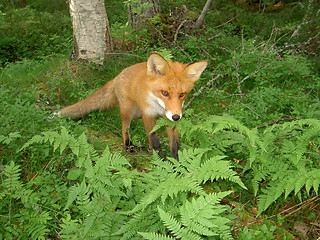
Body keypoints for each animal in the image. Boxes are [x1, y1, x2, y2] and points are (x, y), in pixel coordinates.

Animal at [59, 54, 208, 159]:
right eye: (165, 93)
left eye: (182, 94)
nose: (176, 117)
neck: (159, 108)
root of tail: (118, 75)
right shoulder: (148, 115)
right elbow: (155, 141)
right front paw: (161, 161)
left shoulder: (167, 119)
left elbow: (174, 145)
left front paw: (176, 165)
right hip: (129, 111)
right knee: (124, 127)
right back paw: (128, 147)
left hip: (137, 114)